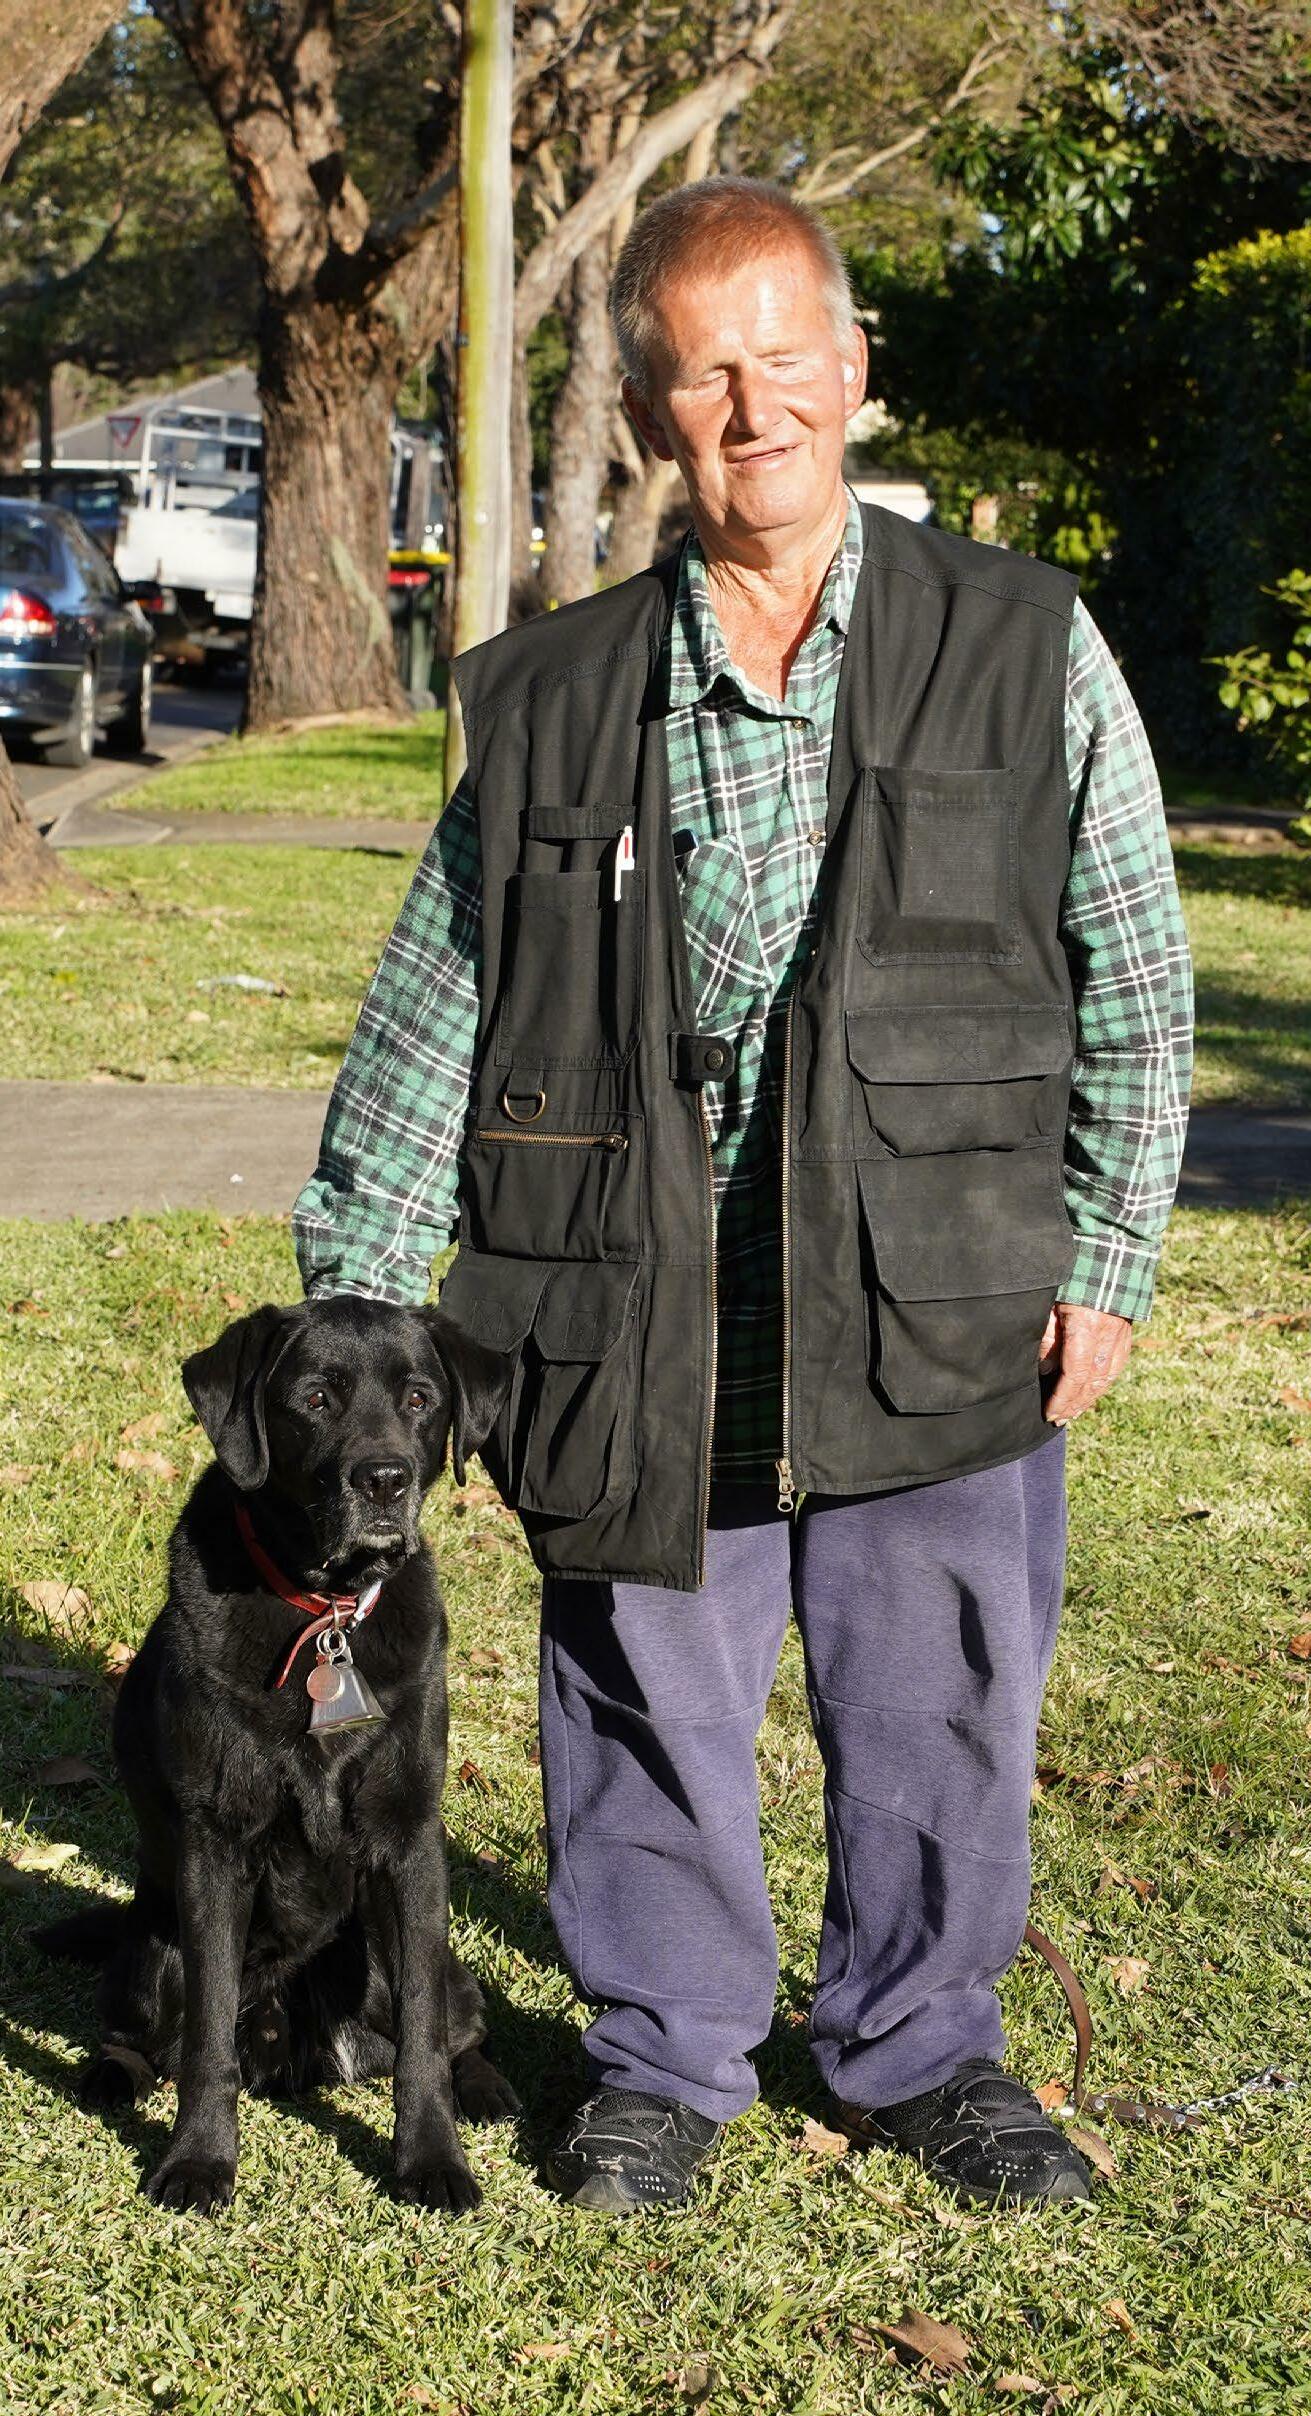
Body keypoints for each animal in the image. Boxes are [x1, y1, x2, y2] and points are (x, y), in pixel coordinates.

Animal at [38, 1295, 518, 2216]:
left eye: (418, 1399)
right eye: (316, 1399)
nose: (383, 1481)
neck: (323, 1614)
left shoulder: (410, 1843)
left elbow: (422, 2040)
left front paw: (431, 2159)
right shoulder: (215, 1848)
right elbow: (206, 2042)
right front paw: (198, 2161)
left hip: (403, 1953)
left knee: (456, 2026)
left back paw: (488, 2088)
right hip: (153, 1953)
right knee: (139, 2033)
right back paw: (112, 2078)